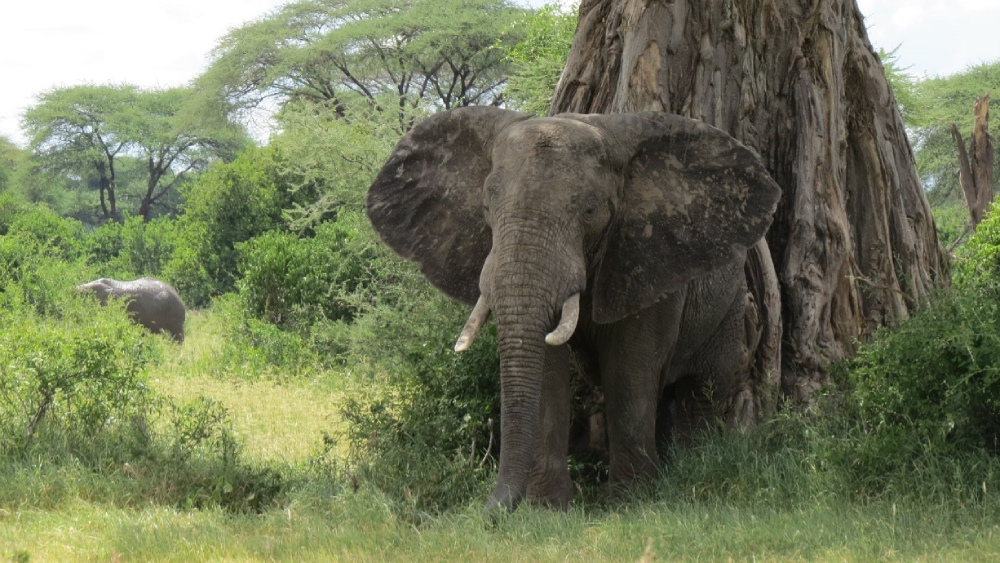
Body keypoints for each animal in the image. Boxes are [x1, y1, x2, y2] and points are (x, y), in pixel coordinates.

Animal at [366, 106, 780, 516]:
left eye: (591, 209)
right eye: (486, 206)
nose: (484, 515)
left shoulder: (648, 258)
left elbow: (629, 367)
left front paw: (630, 501)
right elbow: (547, 367)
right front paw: (548, 507)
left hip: (730, 305)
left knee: (706, 389)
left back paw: (695, 465)